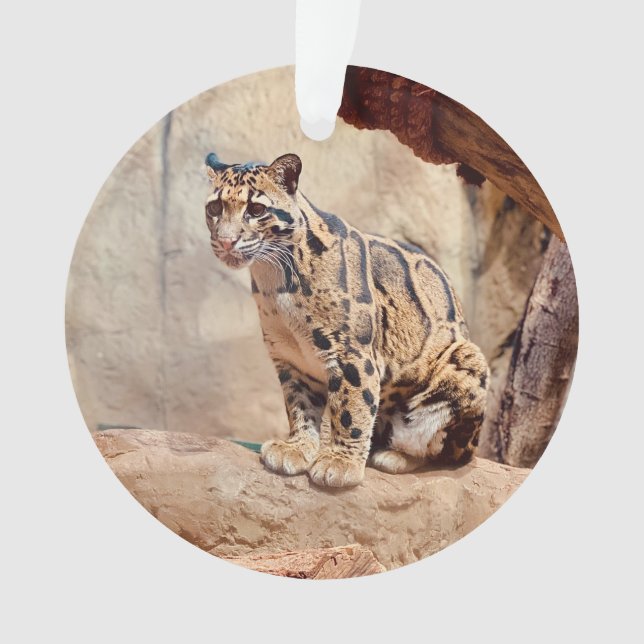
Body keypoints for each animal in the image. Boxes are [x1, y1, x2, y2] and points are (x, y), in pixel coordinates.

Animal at [204, 151, 489, 488]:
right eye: (214, 208)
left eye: (256, 209)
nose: (225, 241)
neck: (274, 278)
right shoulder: (291, 358)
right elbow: (299, 406)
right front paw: (298, 448)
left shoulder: (351, 353)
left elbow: (352, 408)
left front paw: (340, 463)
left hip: (467, 361)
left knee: (443, 451)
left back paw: (394, 456)